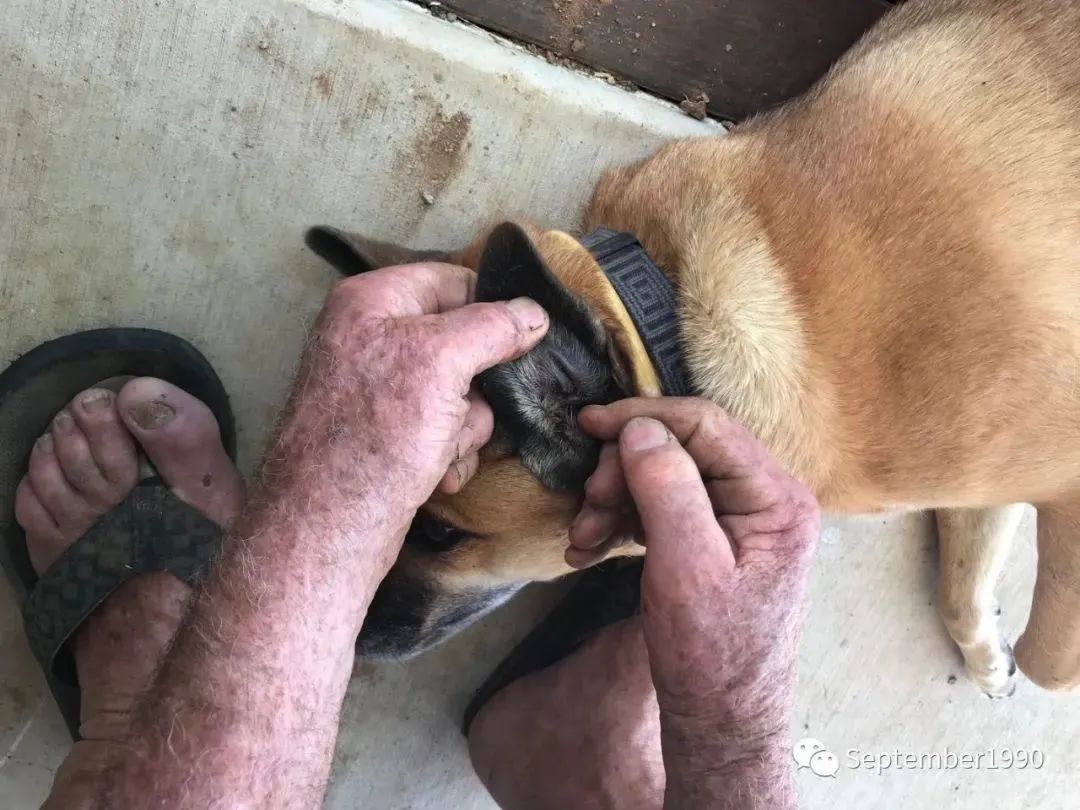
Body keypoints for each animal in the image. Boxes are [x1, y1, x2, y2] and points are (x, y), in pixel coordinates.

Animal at [302, 0, 1080, 699]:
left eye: (439, 533)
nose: (339, 643)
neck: (663, 305)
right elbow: (978, 568)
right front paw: (985, 644)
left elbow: (1052, 661)